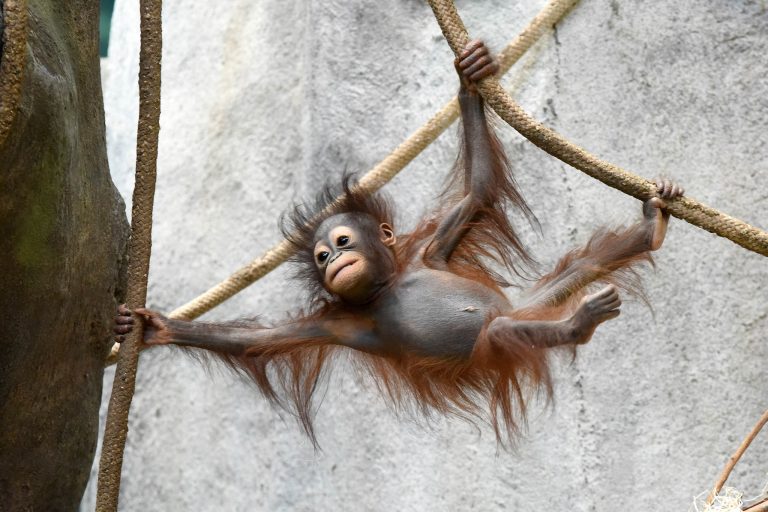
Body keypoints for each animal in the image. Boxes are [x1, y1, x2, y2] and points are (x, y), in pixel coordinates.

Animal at [115, 40, 684, 446]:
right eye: (321, 255)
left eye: (342, 240)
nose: (335, 260)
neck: (387, 284)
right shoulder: (338, 322)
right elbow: (260, 340)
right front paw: (158, 328)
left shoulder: (434, 248)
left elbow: (477, 190)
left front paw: (468, 80)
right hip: (496, 345)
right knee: (504, 331)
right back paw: (580, 320)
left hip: (533, 303)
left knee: (579, 270)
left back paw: (646, 229)